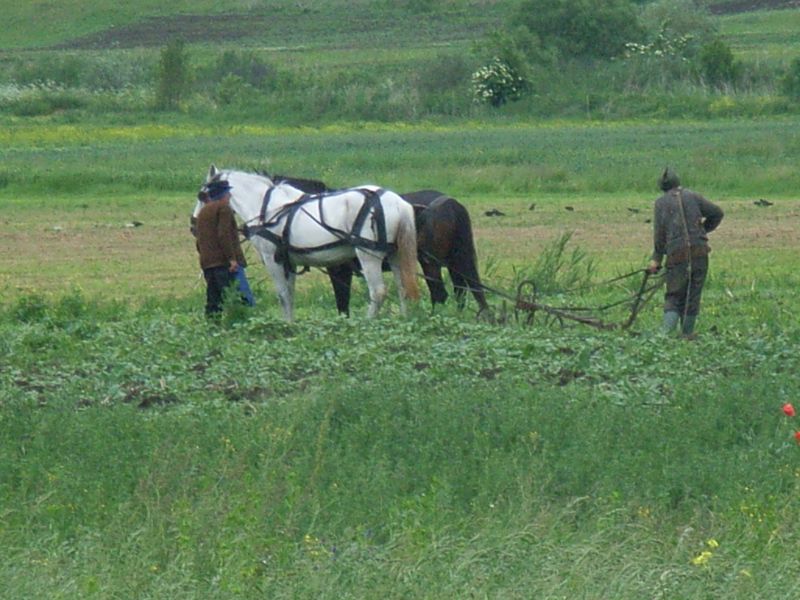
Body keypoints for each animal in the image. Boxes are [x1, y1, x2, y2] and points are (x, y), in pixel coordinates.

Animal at [192, 164, 418, 322]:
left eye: (202, 195)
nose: (193, 224)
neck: (267, 208)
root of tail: (396, 202)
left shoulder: (272, 259)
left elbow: (282, 294)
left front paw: (285, 325)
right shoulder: (288, 262)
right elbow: (290, 294)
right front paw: (291, 323)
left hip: (368, 255)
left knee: (378, 291)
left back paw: (367, 322)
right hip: (395, 255)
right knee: (403, 288)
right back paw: (404, 319)